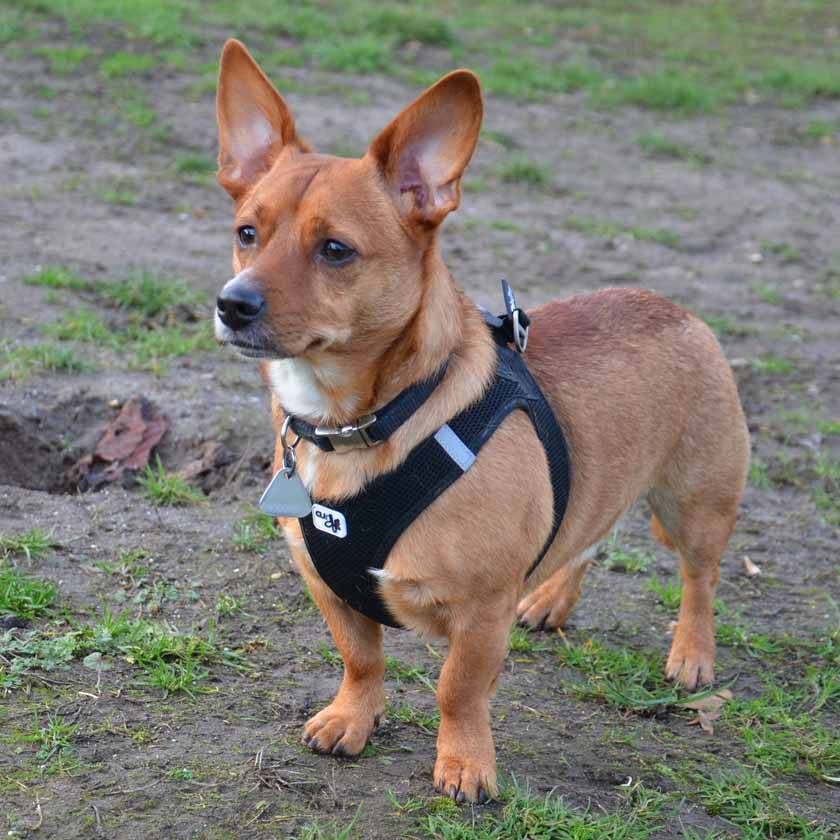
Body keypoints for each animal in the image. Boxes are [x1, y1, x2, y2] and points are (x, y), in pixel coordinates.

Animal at [213, 40, 750, 804]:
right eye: (246, 233)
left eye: (336, 250)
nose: (233, 303)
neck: (363, 422)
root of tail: (673, 307)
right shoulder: (331, 590)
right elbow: (361, 660)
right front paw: (352, 719)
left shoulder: (481, 612)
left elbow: (457, 690)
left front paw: (466, 764)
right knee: (586, 536)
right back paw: (551, 599)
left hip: (695, 504)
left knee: (700, 579)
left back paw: (692, 654)